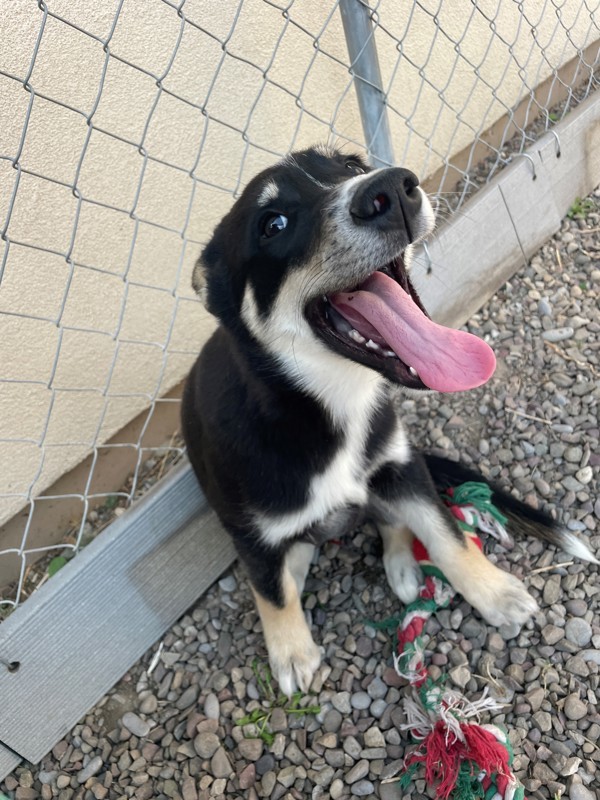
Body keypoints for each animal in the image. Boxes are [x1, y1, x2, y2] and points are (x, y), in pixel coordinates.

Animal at [182, 147, 596, 696]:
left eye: (353, 169)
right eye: (273, 224)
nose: (393, 189)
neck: (331, 404)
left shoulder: (399, 466)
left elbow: (447, 535)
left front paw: (493, 592)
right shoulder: (247, 530)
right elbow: (271, 593)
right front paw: (292, 653)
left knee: (392, 520)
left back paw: (402, 567)